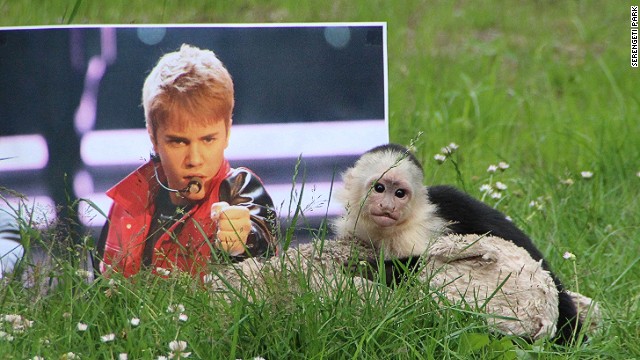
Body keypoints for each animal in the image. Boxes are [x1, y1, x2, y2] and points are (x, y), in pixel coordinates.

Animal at [332, 143, 588, 346]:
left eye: (400, 193)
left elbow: (420, 268)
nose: (387, 207)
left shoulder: (418, 230)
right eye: (379, 188)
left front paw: (370, 268)